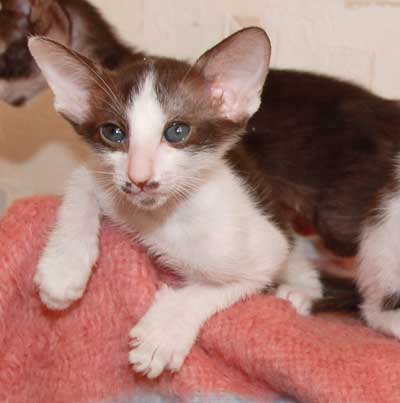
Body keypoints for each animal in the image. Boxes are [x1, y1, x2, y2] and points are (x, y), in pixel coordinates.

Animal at [28, 28, 322, 378]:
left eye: (177, 131)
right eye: (113, 132)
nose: (139, 178)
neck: (163, 217)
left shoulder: (264, 249)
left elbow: (217, 287)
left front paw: (163, 334)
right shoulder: (107, 182)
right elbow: (82, 181)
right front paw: (63, 267)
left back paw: (297, 294)